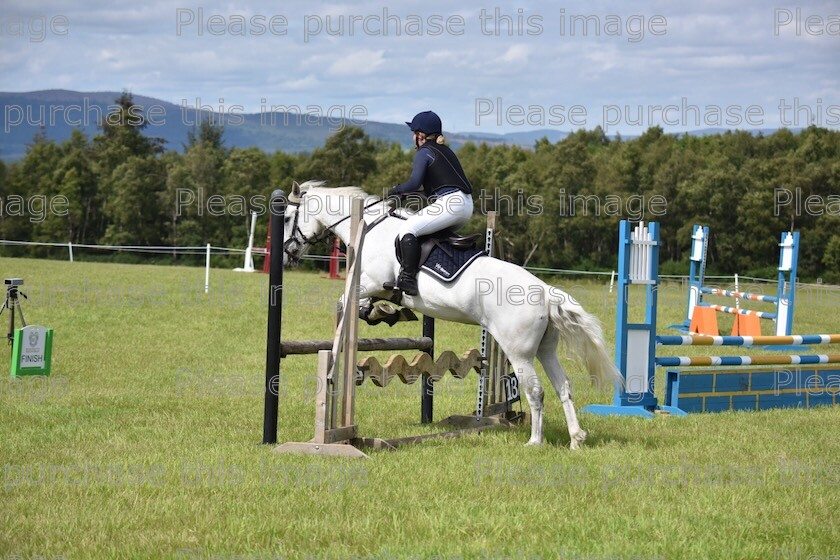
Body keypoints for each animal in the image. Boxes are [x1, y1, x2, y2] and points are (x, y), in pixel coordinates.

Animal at [282, 182, 616, 448]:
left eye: (285, 217)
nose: (287, 254)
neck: (368, 229)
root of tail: (546, 292)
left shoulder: (372, 282)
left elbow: (346, 301)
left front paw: (375, 312)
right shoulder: (374, 287)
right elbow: (370, 305)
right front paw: (381, 313)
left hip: (519, 351)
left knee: (536, 391)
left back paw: (535, 442)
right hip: (545, 349)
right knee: (563, 387)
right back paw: (576, 439)